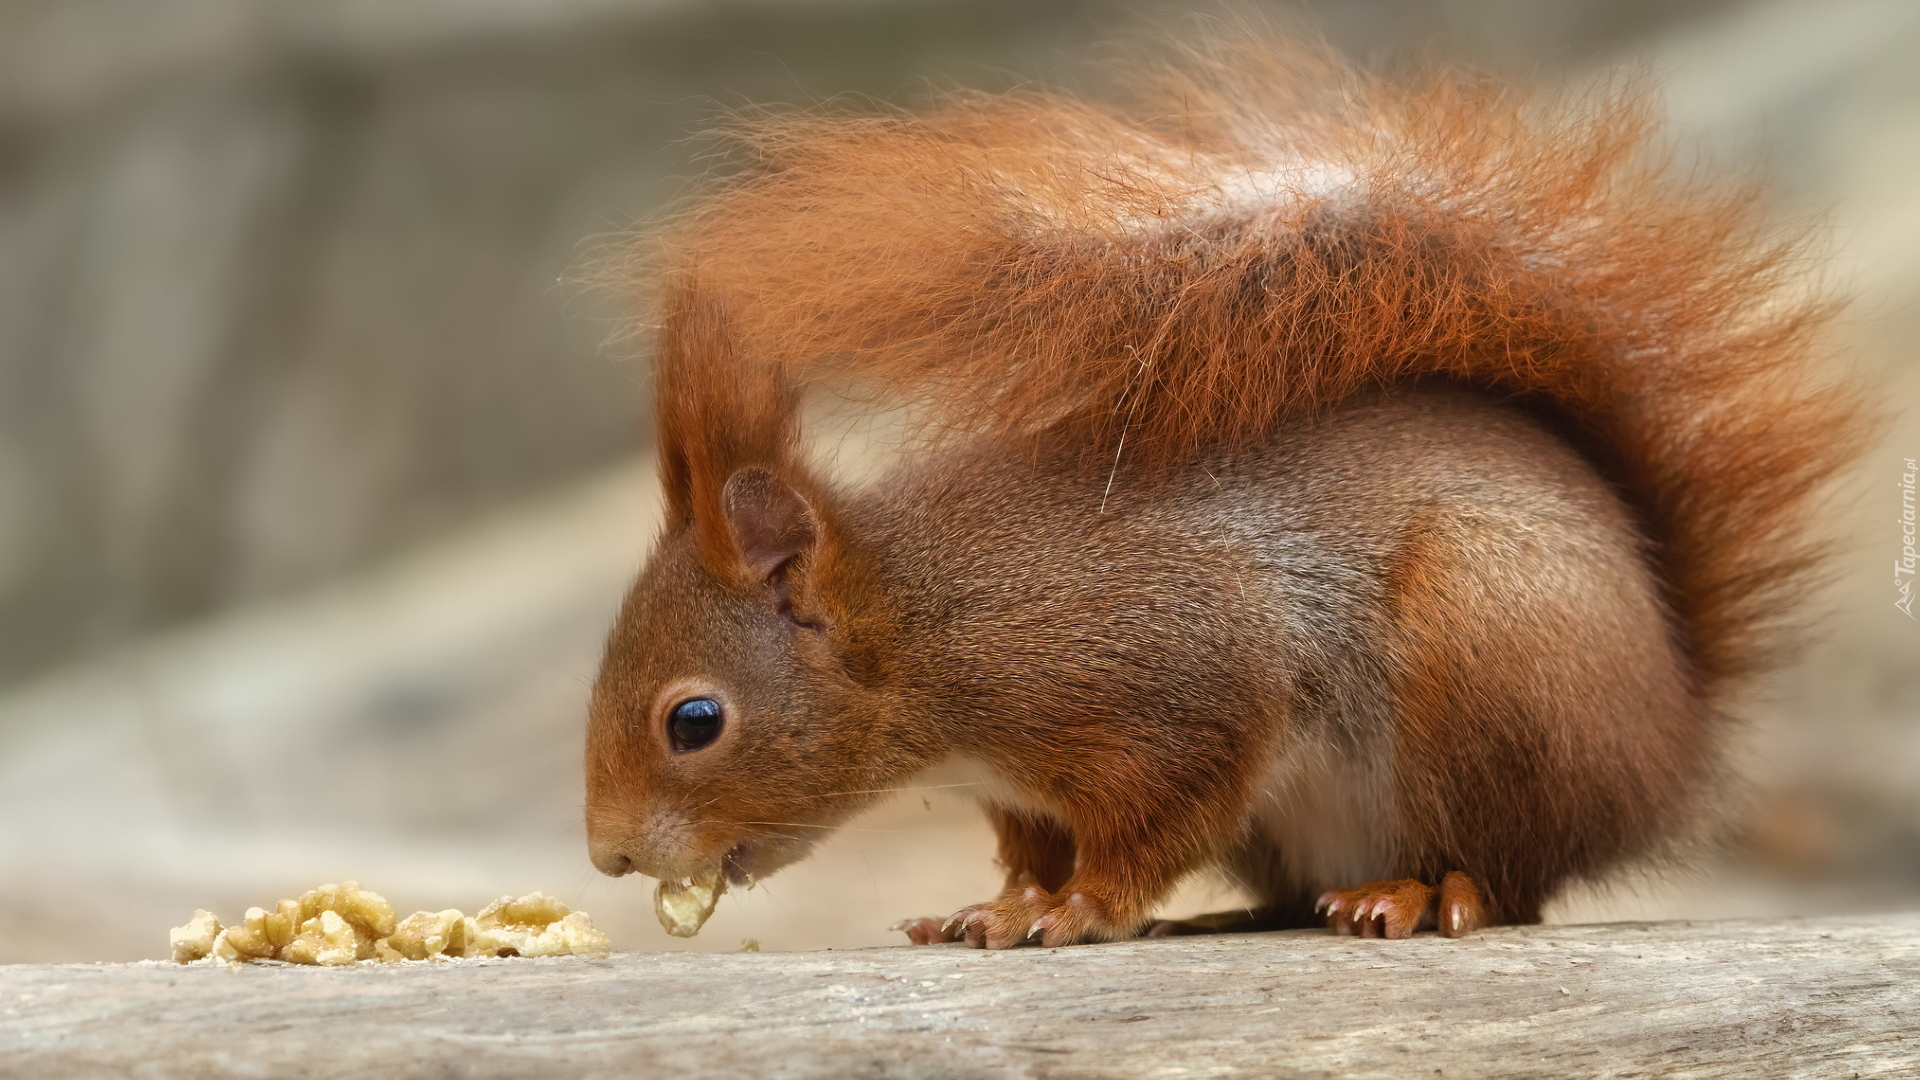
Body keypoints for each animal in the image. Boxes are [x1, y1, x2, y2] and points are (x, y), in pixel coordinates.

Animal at [579, 35, 1858, 941]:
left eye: (694, 721)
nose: (608, 857)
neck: (931, 622)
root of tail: (1670, 731)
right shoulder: (1024, 788)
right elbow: (1037, 844)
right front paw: (1002, 904)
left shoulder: (1173, 677)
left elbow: (1160, 810)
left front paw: (1078, 911)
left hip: (1491, 663)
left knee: (1508, 872)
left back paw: (1419, 894)